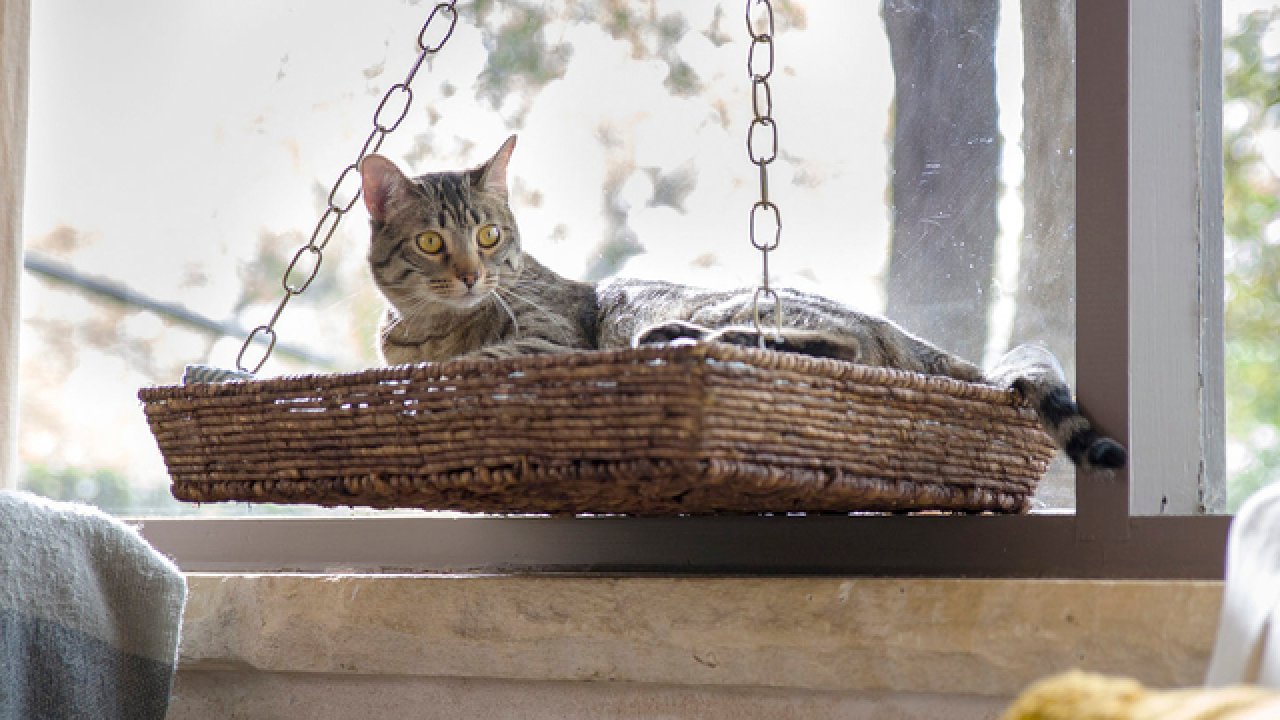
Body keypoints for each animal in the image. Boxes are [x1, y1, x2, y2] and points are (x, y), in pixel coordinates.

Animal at [358, 135, 1121, 471]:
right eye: (431, 242)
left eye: (488, 235)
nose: (470, 273)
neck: (435, 325)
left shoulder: (549, 341)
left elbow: (474, 362)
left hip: (695, 306)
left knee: (827, 348)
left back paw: (674, 342)